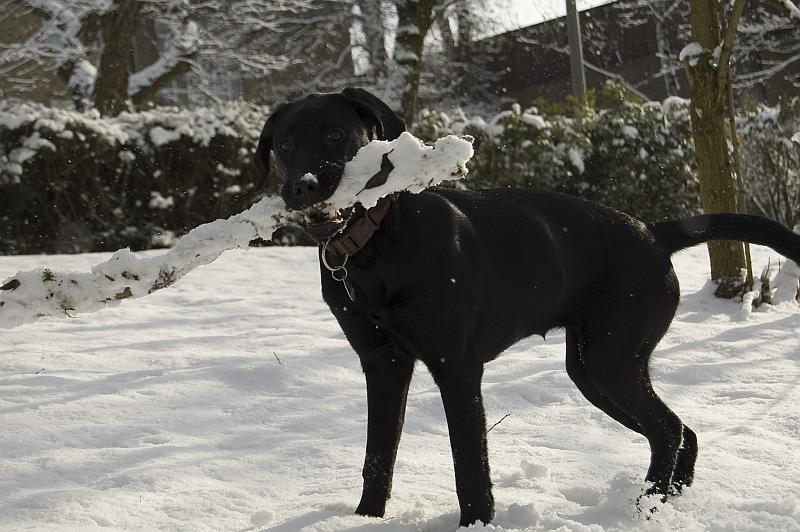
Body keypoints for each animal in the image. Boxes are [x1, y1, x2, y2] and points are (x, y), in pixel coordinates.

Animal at [256, 88, 800, 528]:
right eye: (284, 146)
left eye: (334, 134)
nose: (302, 186)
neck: (374, 248)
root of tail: (652, 232)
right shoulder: (382, 364)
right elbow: (377, 455)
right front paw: (364, 520)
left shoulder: (457, 368)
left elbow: (470, 462)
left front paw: (476, 523)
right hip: (592, 370)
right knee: (681, 430)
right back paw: (668, 501)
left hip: (612, 360)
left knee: (667, 431)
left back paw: (646, 508)